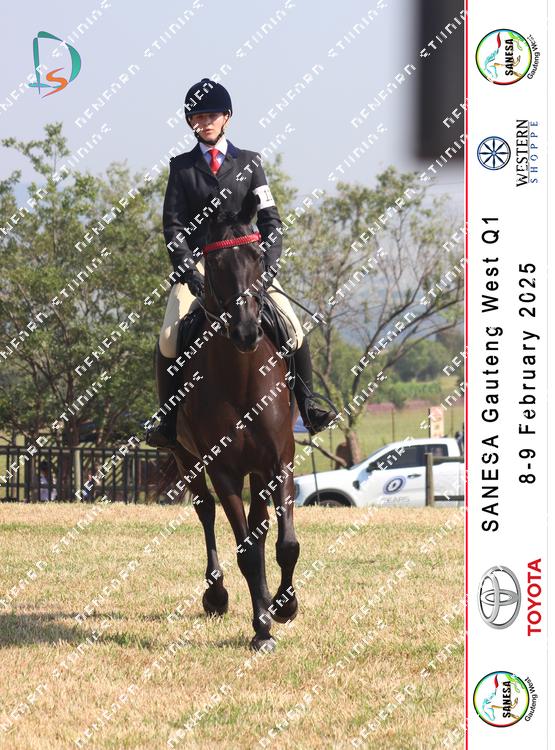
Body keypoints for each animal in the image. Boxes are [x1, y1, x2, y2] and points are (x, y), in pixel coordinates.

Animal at [165, 204, 300, 652]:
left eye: (258, 256)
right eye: (215, 264)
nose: (245, 331)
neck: (241, 378)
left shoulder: (278, 463)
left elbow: (285, 543)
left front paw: (284, 607)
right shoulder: (223, 471)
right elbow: (246, 552)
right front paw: (262, 628)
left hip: (256, 470)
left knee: (262, 529)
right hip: (185, 457)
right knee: (205, 511)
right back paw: (217, 595)